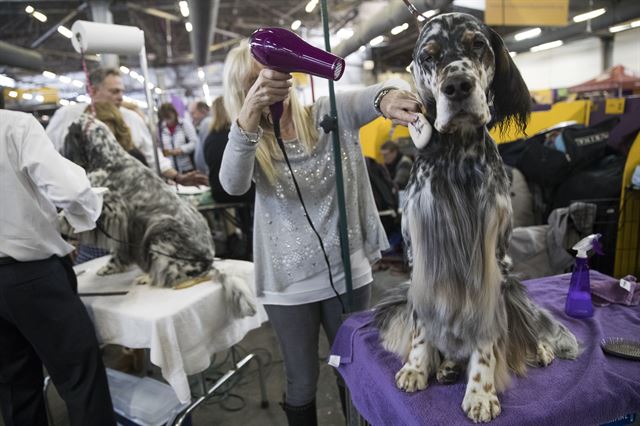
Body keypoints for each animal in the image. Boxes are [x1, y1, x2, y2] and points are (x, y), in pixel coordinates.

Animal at [376, 13, 580, 422]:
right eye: (429, 55)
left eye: (477, 45)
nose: (457, 86)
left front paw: (481, 392)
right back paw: (446, 365)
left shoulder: (492, 258)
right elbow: (422, 323)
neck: (458, 153)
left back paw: (538, 349)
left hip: (513, 286)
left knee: (522, 326)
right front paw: (417, 367)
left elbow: (488, 336)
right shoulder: (419, 250)